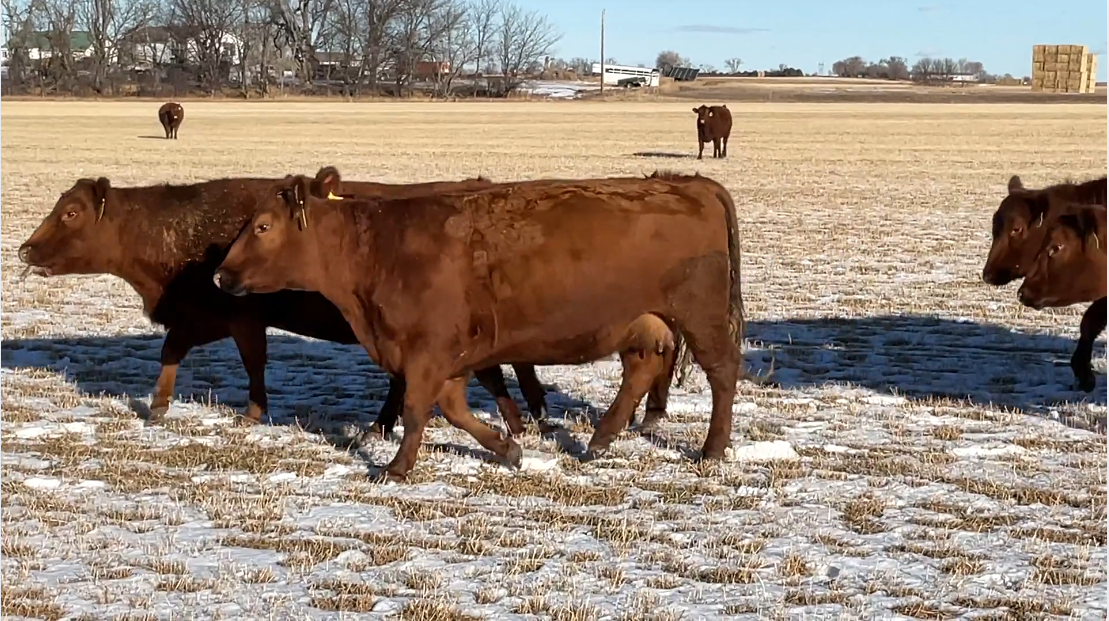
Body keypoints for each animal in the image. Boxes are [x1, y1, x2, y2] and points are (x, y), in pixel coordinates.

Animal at [211, 168, 749, 481]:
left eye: (262, 226)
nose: (220, 275)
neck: (380, 249)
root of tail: (688, 182)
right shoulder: (445, 358)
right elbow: (453, 409)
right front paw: (507, 449)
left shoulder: (427, 351)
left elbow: (416, 412)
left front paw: (396, 467)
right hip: (645, 321)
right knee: (640, 370)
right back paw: (599, 440)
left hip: (699, 316)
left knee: (722, 374)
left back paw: (711, 450)